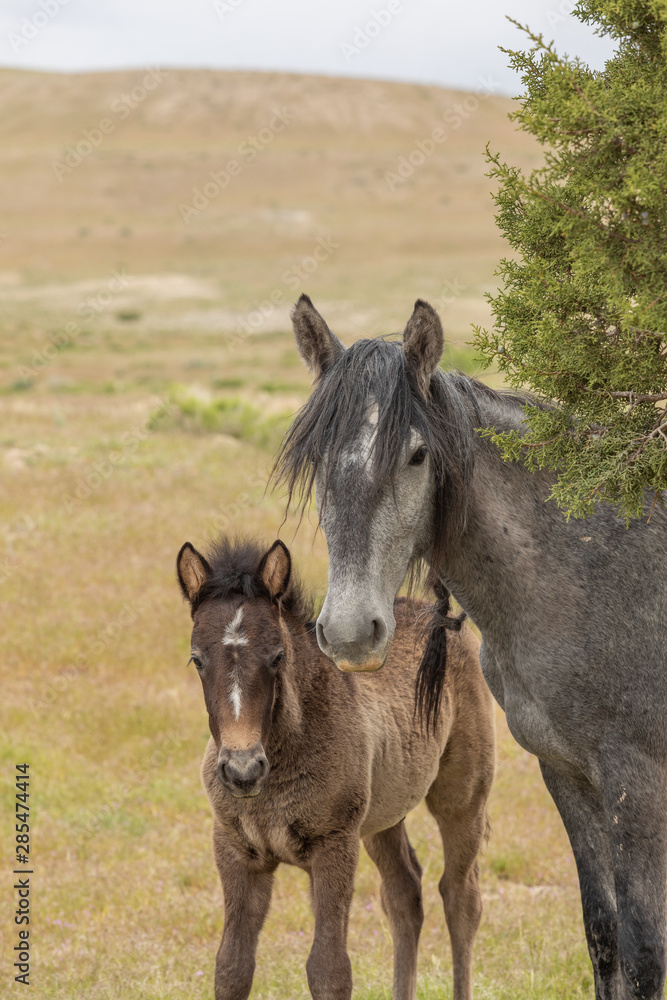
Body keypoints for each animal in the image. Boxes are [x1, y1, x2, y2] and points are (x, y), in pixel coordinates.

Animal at [276, 292, 667, 1000]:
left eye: (416, 455)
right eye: (317, 459)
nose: (348, 631)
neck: (593, 564)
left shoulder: (638, 781)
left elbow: (645, 951)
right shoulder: (568, 773)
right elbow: (604, 937)